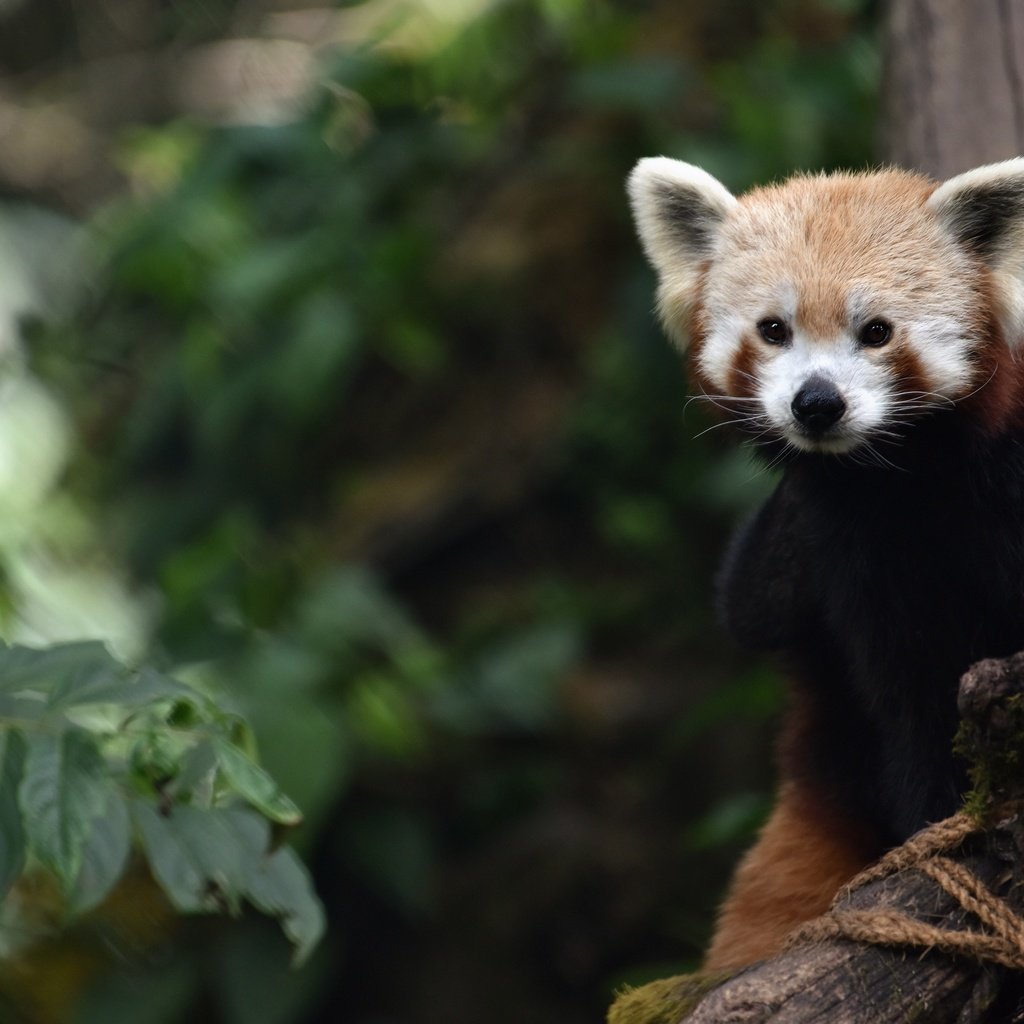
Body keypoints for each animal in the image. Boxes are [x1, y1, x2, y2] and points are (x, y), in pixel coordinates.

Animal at [622, 157, 1024, 966]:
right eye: (773, 330)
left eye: (877, 332)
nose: (816, 402)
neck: (897, 484)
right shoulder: (855, 559)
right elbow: (908, 696)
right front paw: (937, 819)